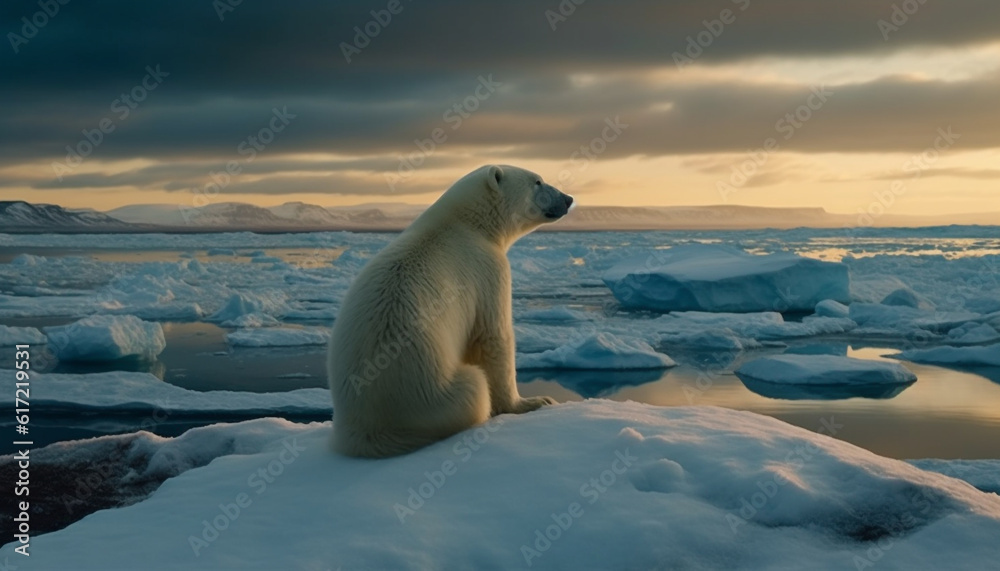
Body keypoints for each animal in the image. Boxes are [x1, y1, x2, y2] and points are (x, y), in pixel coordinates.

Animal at [328, 163, 576, 458]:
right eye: (537, 181)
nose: (568, 199)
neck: (468, 223)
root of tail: (371, 434)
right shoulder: (488, 269)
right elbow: (494, 336)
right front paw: (533, 401)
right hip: (438, 396)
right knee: (475, 386)